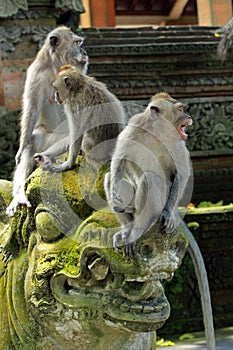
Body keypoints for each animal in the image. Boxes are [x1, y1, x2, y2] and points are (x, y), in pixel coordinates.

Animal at [6, 26, 88, 216]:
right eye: (77, 43)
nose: (84, 52)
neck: (56, 66)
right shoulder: (35, 72)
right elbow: (32, 109)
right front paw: (20, 149)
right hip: (44, 139)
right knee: (33, 141)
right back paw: (20, 194)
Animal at [104, 92, 192, 258]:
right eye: (180, 110)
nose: (188, 116)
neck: (156, 132)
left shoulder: (177, 142)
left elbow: (182, 173)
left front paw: (169, 213)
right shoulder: (133, 128)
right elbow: (119, 161)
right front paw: (114, 197)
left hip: (162, 199)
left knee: (149, 179)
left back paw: (137, 230)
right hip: (132, 205)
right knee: (109, 177)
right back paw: (127, 228)